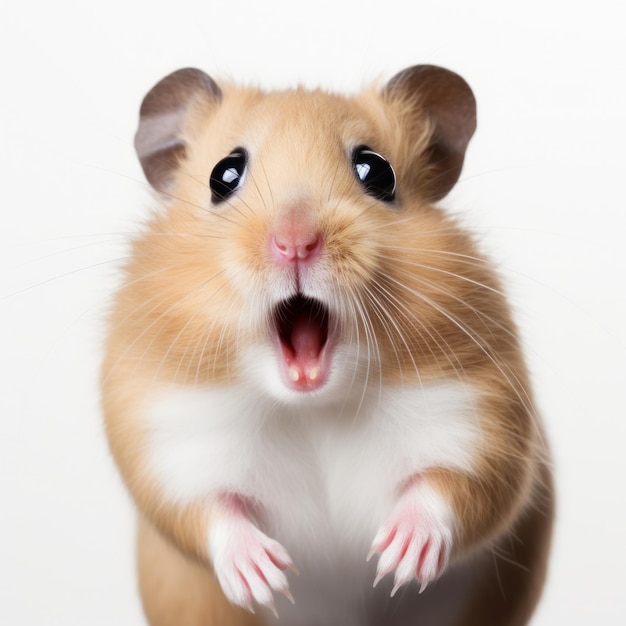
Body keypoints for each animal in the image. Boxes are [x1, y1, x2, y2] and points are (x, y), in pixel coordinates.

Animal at [101, 64, 552, 624]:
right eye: (223, 176)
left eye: (376, 172)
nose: (295, 243)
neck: (313, 405)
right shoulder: (165, 445)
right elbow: (208, 512)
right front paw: (266, 577)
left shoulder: (483, 423)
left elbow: (451, 486)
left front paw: (397, 559)